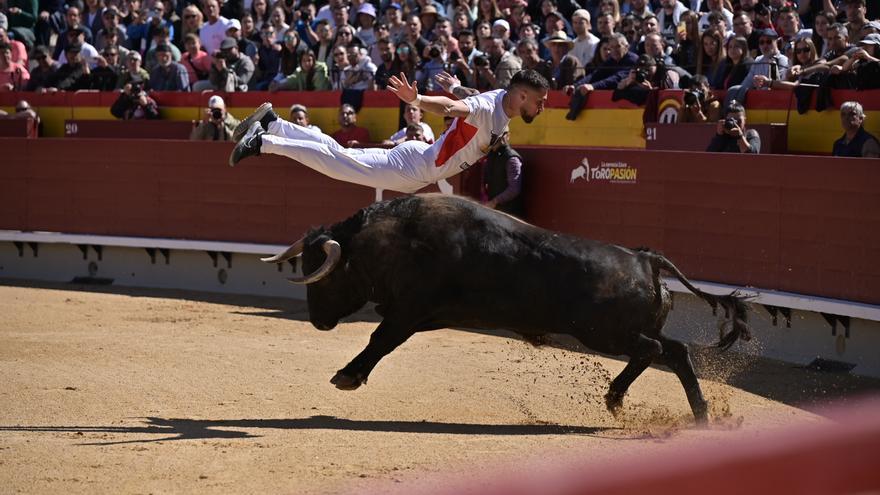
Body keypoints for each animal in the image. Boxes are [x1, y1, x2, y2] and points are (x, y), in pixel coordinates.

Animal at [262, 194, 748, 422]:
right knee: (676, 351)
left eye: (322, 274)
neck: (391, 238)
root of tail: (645, 259)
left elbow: (379, 340)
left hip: (604, 333)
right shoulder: (420, 316)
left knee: (655, 350)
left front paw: (347, 376)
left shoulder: (407, 312)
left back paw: (616, 399)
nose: (318, 322)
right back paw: (699, 415)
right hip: (623, 331)